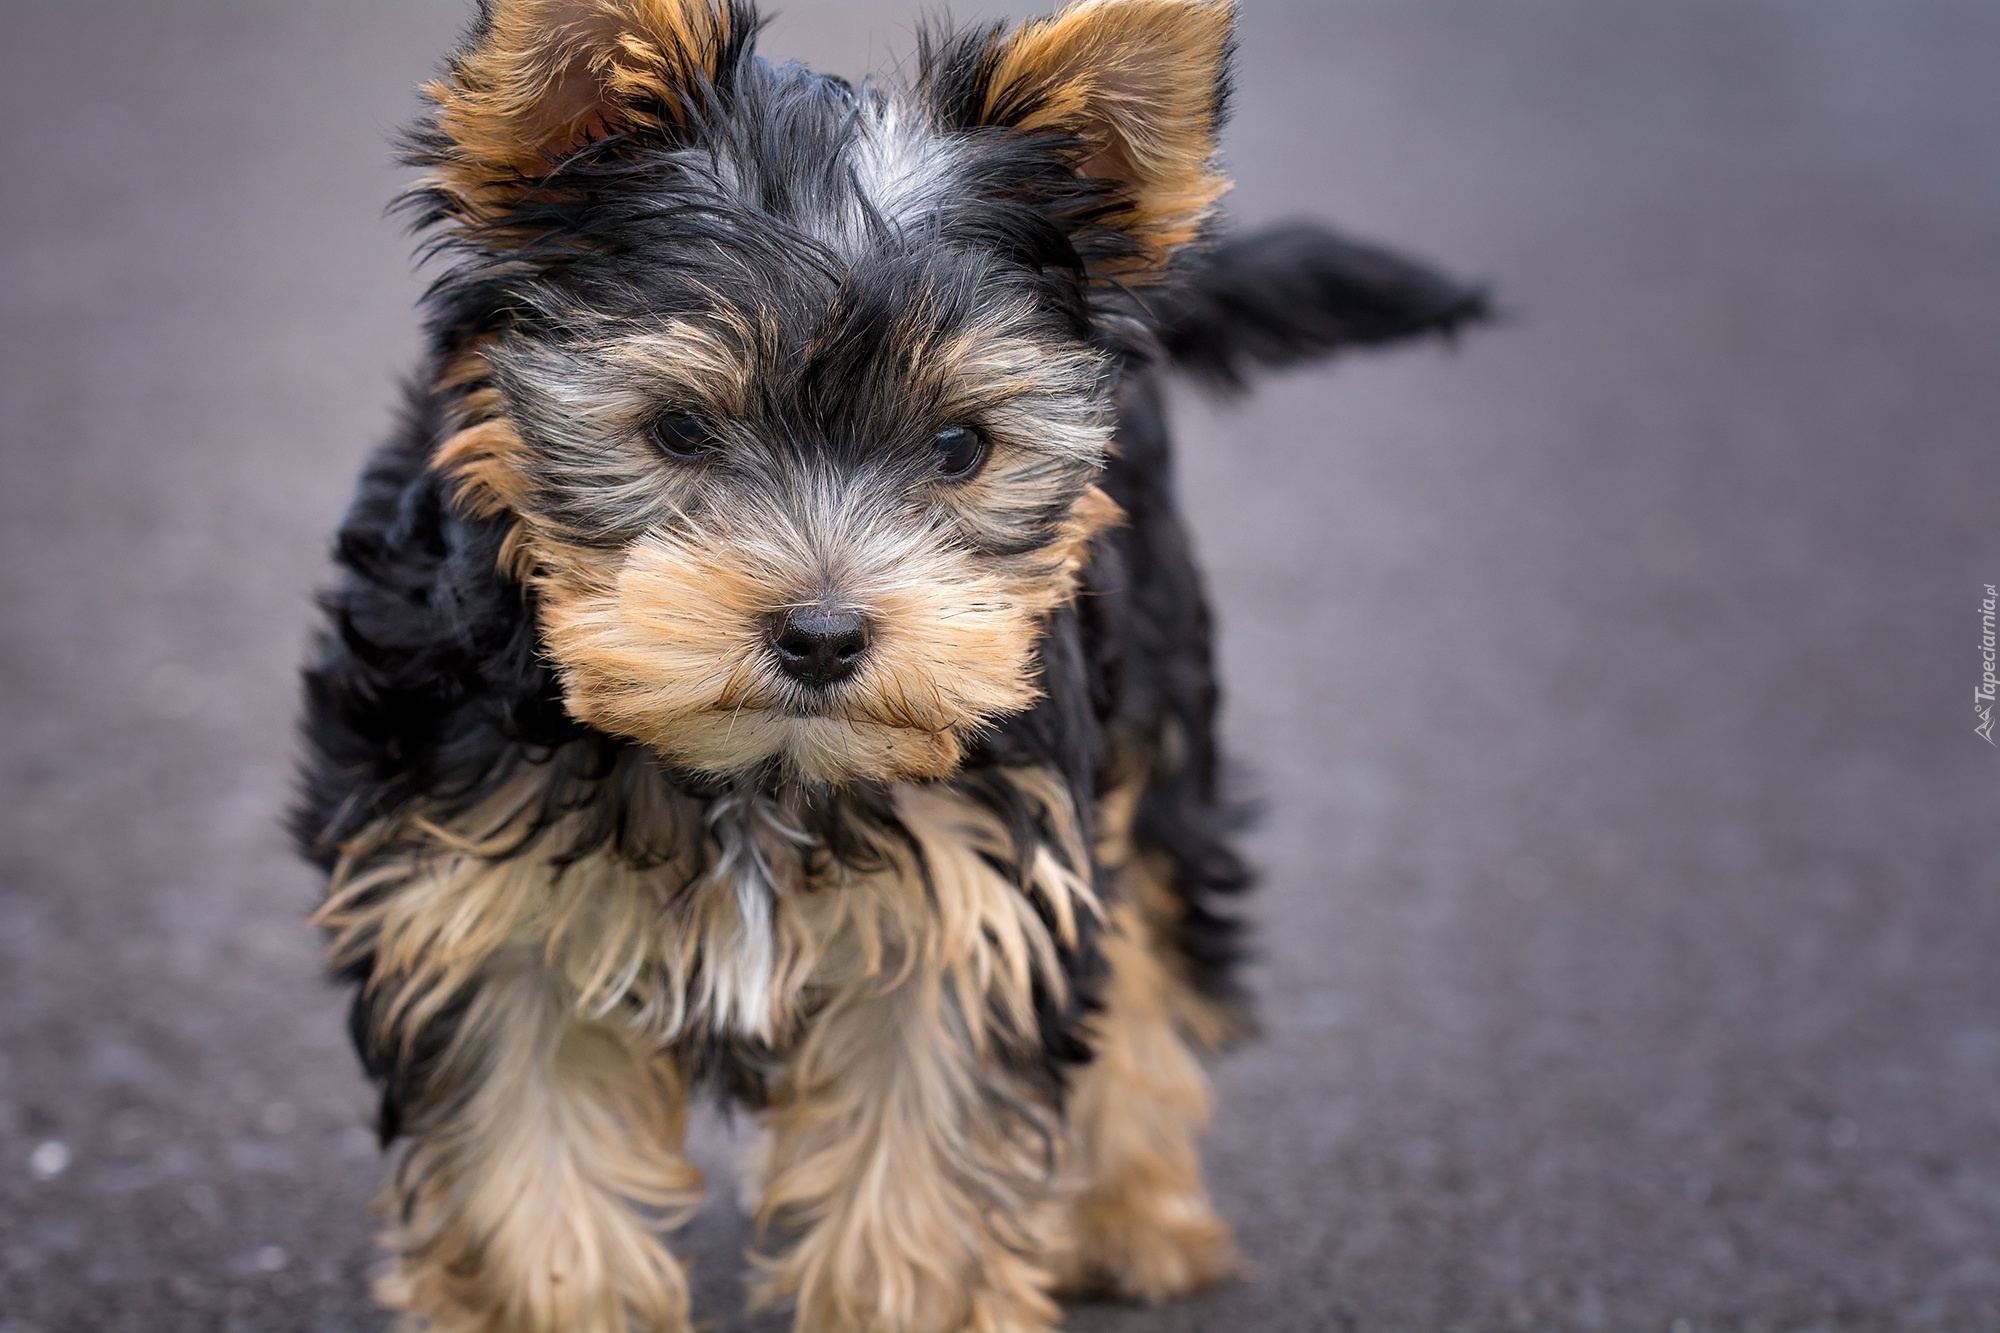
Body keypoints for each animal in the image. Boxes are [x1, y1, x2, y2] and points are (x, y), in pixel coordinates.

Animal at [296, 0, 1488, 1320]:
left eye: (960, 446)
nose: (821, 635)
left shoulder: (971, 911)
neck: (757, 773)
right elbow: (530, 1196)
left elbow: (917, 1196)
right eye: (677, 429)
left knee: (1149, 943)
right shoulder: (479, 914)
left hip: (1155, 698)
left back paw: (1133, 1214)